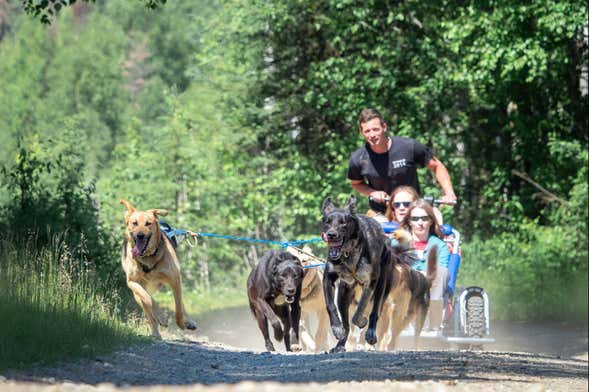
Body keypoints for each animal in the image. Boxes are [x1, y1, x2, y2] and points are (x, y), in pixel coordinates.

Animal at [120, 201, 198, 338]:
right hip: (136, 295)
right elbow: (148, 299)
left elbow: (179, 309)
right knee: (148, 313)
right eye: (134, 223)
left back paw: (188, 321)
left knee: (181, 304)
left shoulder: (175, 279)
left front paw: (181, 323)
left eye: (148, 223)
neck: (148, 257)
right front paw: (161, 317)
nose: (140, 235)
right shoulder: (132, 282)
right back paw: (156, 332)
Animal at [320, 196, 392, 352]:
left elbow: (360, 311)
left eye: (343, 222)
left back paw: (370, 332)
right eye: (327, 221)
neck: (347, 253)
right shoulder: (328, 279)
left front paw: (361, 321)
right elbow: (330, 306)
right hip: (343, 294)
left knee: (374, 311)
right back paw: (340, 343)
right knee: (346, 324)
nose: (331, 235)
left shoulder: (370, 282)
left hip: (381, 286)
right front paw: (336, 328)